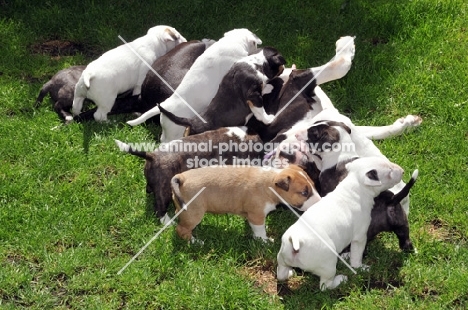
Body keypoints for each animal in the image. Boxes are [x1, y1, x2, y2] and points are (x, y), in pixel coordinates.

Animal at [156, 46, 286, 136]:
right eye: (280, 65)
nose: (285, 67)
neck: (256, 63)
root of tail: (191, 121)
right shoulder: (253, 95)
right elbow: (260, 111)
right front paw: (269, 118)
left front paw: (267, 87)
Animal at [171, 165, 322, 242]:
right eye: (304, 193)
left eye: (314, 186)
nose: (320, 203)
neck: (270, 181)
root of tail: (182, 178)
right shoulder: (256, 215)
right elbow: (260, 231)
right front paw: (265, 241)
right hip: (194, 212)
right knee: (182, 230)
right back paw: (194, 241)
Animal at [276, 157, 404, 290]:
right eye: (389, 171)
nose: (402, 171)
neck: (354, 188)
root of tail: (296, 242)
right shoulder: (360, 237)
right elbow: (356, 256)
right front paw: (360, 267)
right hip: (328, 266)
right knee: (325, 286)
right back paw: (340, 280)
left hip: (282, 257)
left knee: (281, 273)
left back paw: (289, 273)